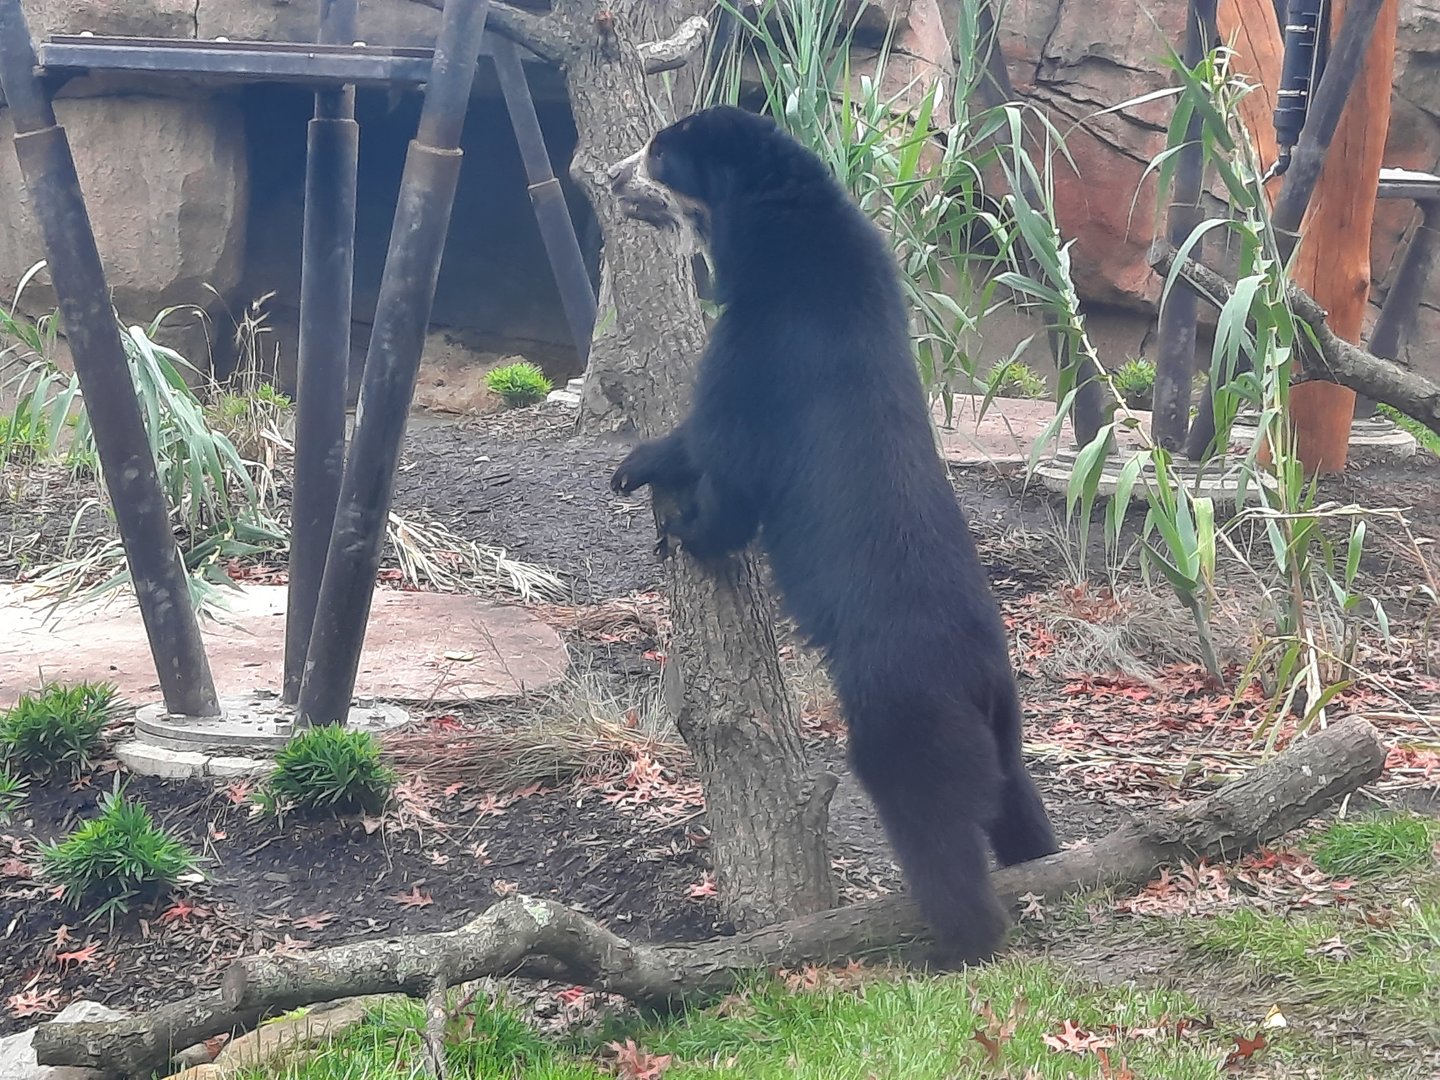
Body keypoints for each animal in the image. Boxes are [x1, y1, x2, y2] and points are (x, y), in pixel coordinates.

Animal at [607, 105, 1058, 963]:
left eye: (659, 154)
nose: (611, 177)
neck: (786, 224)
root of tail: (978, 674)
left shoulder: (763, 344)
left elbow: (725, 454)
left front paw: (664, 505)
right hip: (1005, 728)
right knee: (1018, 796)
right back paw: (1046, 867)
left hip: (902, 713)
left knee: (935, 823)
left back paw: (959, 944)